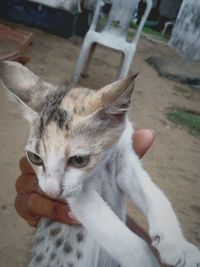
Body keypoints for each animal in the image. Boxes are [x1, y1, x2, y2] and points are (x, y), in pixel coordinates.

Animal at [0, 60, 200, 267]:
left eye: (79, 160)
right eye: (35, 158)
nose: (51, 193)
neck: (102, 164)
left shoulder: (125, 161)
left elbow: (158, 198)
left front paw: (177, 244)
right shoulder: (79, 193)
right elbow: (131, 243)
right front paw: (147, 261)